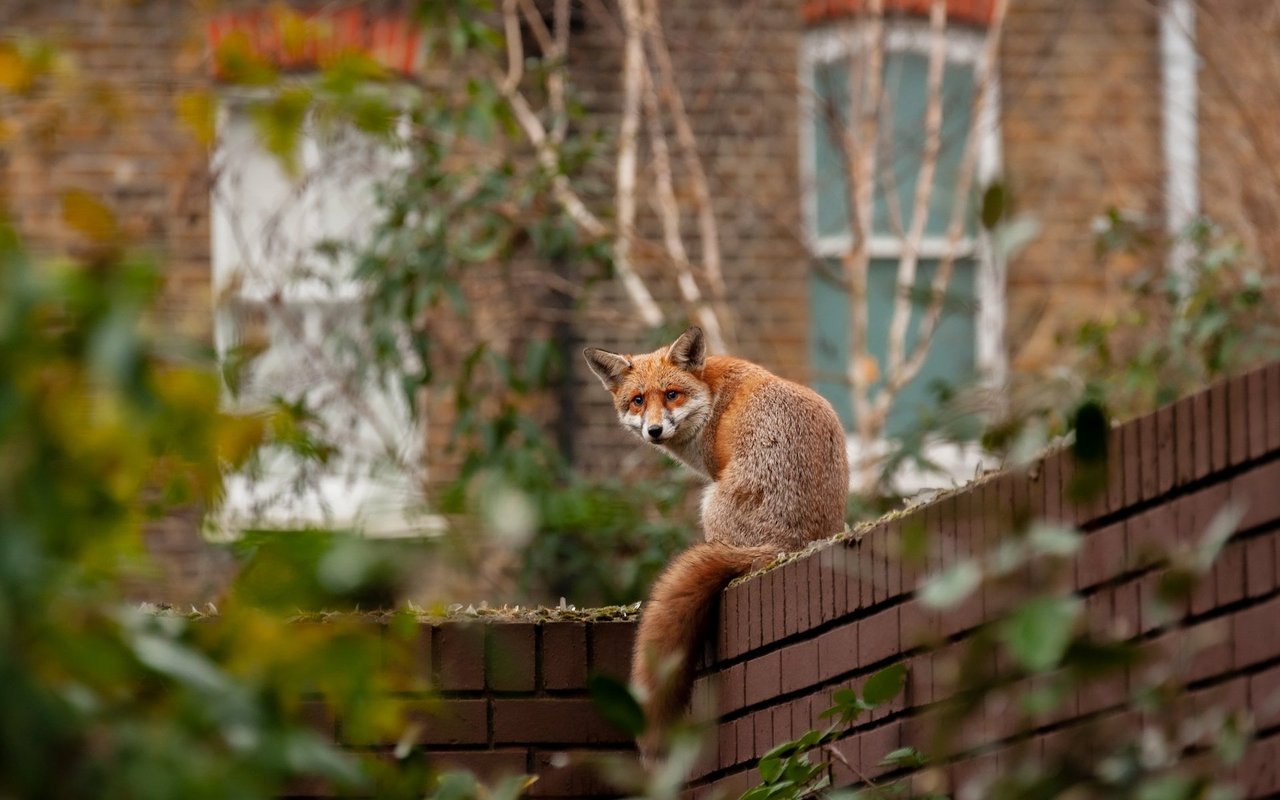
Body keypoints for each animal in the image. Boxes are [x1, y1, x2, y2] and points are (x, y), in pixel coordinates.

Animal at [583, 326, 844, 762]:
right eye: (638, 400)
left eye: (672, 394)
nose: (654, 431)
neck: (711, 395)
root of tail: (789, 545)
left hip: (709, 505)